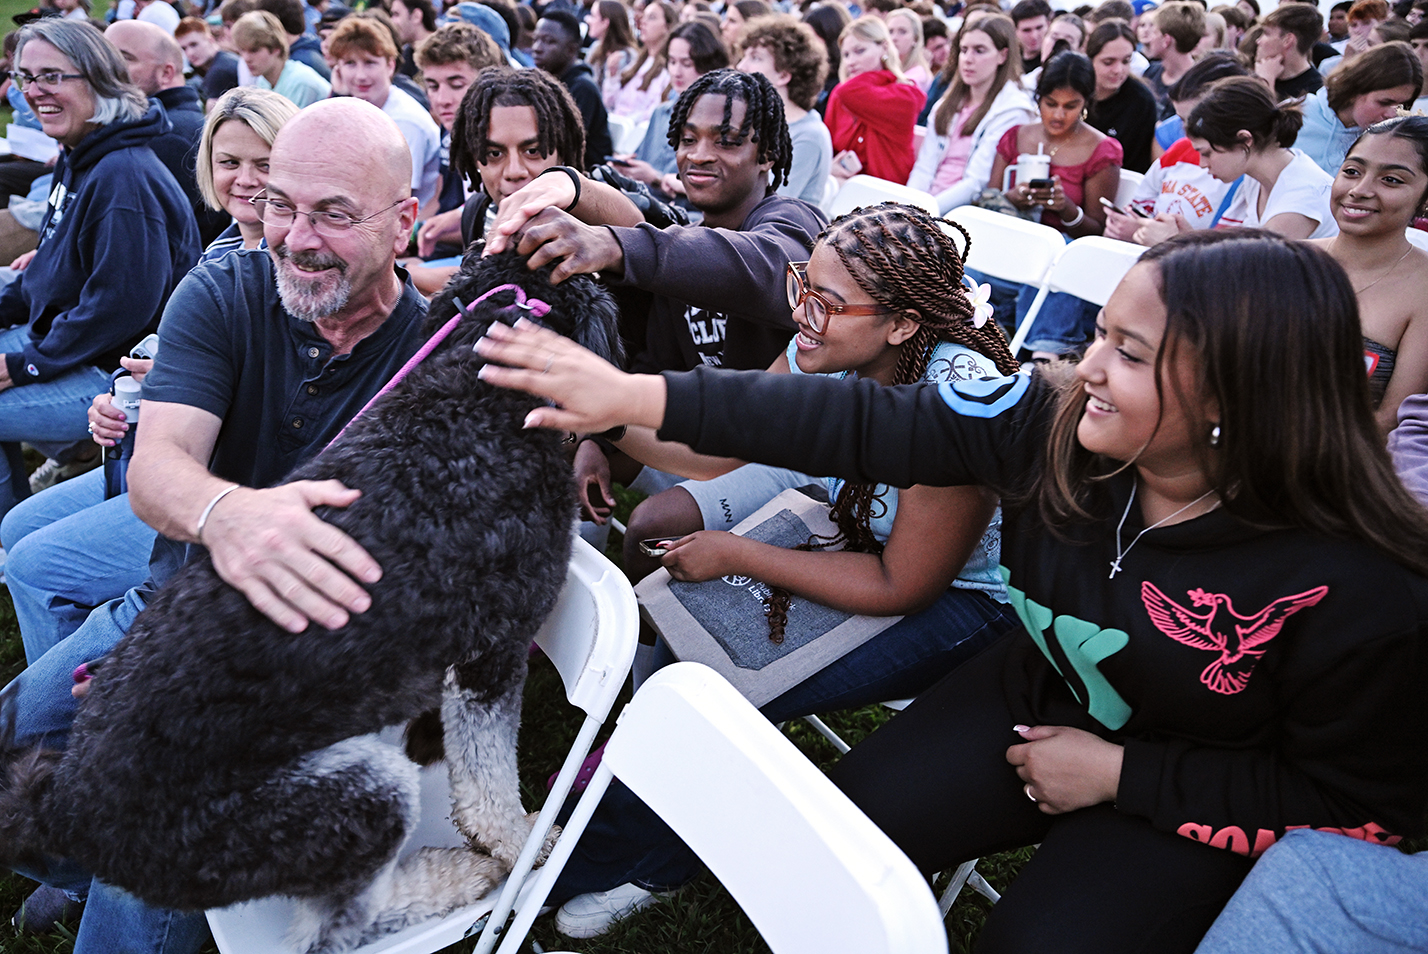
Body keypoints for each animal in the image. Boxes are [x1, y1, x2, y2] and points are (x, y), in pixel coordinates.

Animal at [1, 248, 625, 954]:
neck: (476, 392)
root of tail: (66, 807)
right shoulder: (494, 651)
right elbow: (486, 782)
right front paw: (524, 844)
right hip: (350, 800)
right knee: (333, 926)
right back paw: (457, 876)